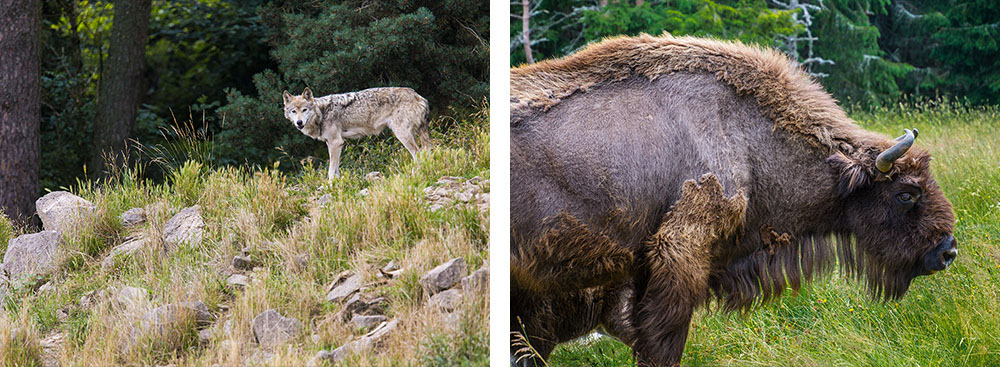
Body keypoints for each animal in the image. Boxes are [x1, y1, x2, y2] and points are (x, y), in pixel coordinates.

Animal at [286, 86, 434, 178]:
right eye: (293, 111)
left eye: (304, 110)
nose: (299, 123)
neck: (322, 113)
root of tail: (419, 97)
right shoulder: (334, 144)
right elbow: (336, 169)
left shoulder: (336, 143)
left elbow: (330, 171)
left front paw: (331, 186)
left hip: (402, 135)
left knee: (418, 154)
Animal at [512, 33, 956, 366]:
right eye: (906, 193)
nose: (948, 250)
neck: (745, 137)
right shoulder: (681, 253)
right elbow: (662, 339)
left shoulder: (642, 268)